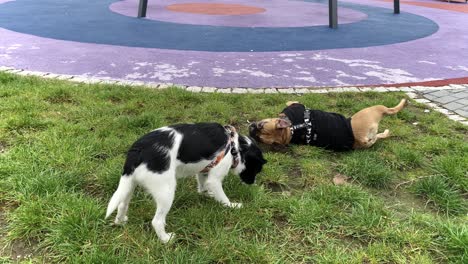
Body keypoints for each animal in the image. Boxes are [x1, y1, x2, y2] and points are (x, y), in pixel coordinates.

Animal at [107, 123, 266, 243]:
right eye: (256, 169)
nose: (252, 183)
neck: (235, 146)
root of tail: (138, 151)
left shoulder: (204, 170)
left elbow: (202, 185)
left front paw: (206, 194)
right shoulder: (215, 178)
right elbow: (222, 197)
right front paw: (232, 205)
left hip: (129, 184)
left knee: (122, 205)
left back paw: (120, 221)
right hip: (166, 191)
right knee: (157, 221)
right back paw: (166, 239)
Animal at [249, 99, 406, 151]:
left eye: (261, 125)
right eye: (259, 138)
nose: (251, 130)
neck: (291, 129)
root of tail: (359, 138)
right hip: (372, 112)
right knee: (389, 111)